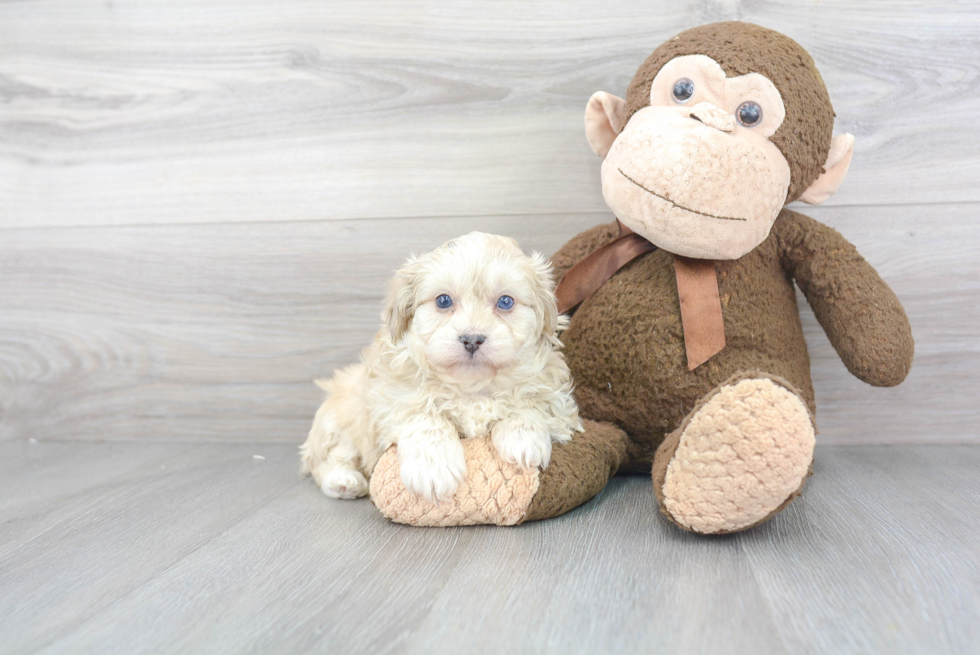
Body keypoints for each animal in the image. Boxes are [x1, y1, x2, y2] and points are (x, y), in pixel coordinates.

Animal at [298, 233, 580, 504]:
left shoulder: (552, 391)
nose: (472, 339)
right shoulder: (390, 400)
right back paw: (344, 480)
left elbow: (530, 401)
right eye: (443, 301)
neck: (471, 385)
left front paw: (523, 438)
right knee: (331, 457)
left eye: (505, 302)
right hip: (342, 416)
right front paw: (432, 468)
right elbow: (426, 418)